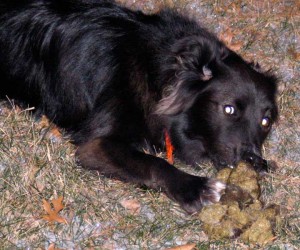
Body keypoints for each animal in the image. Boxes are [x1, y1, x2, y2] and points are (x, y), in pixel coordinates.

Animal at [0, 0, 278, 213]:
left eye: (266, 122)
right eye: (229, 109)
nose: (253, 162)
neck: (157, 71)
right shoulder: (96, 145)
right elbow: (153, 162)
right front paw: (195, 187)